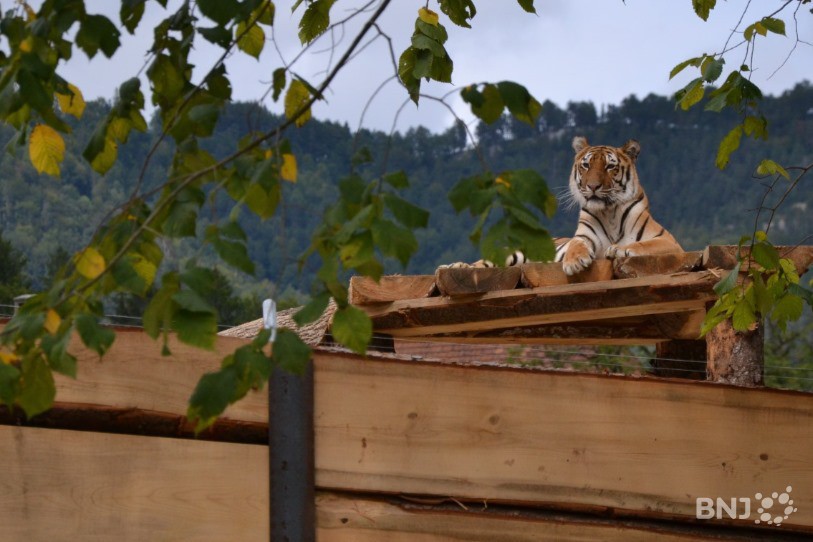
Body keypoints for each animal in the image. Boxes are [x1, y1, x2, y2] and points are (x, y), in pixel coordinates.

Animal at [442, 136, 682, 274]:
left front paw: (618, 249)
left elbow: (642, 245)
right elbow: (576, 245)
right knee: (480, 264)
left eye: (609, 166)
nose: (592, 186)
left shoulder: (669, 242)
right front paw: (574, 262)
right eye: (586, 165)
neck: (609, 212)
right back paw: (455, 266)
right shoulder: (584, 236)